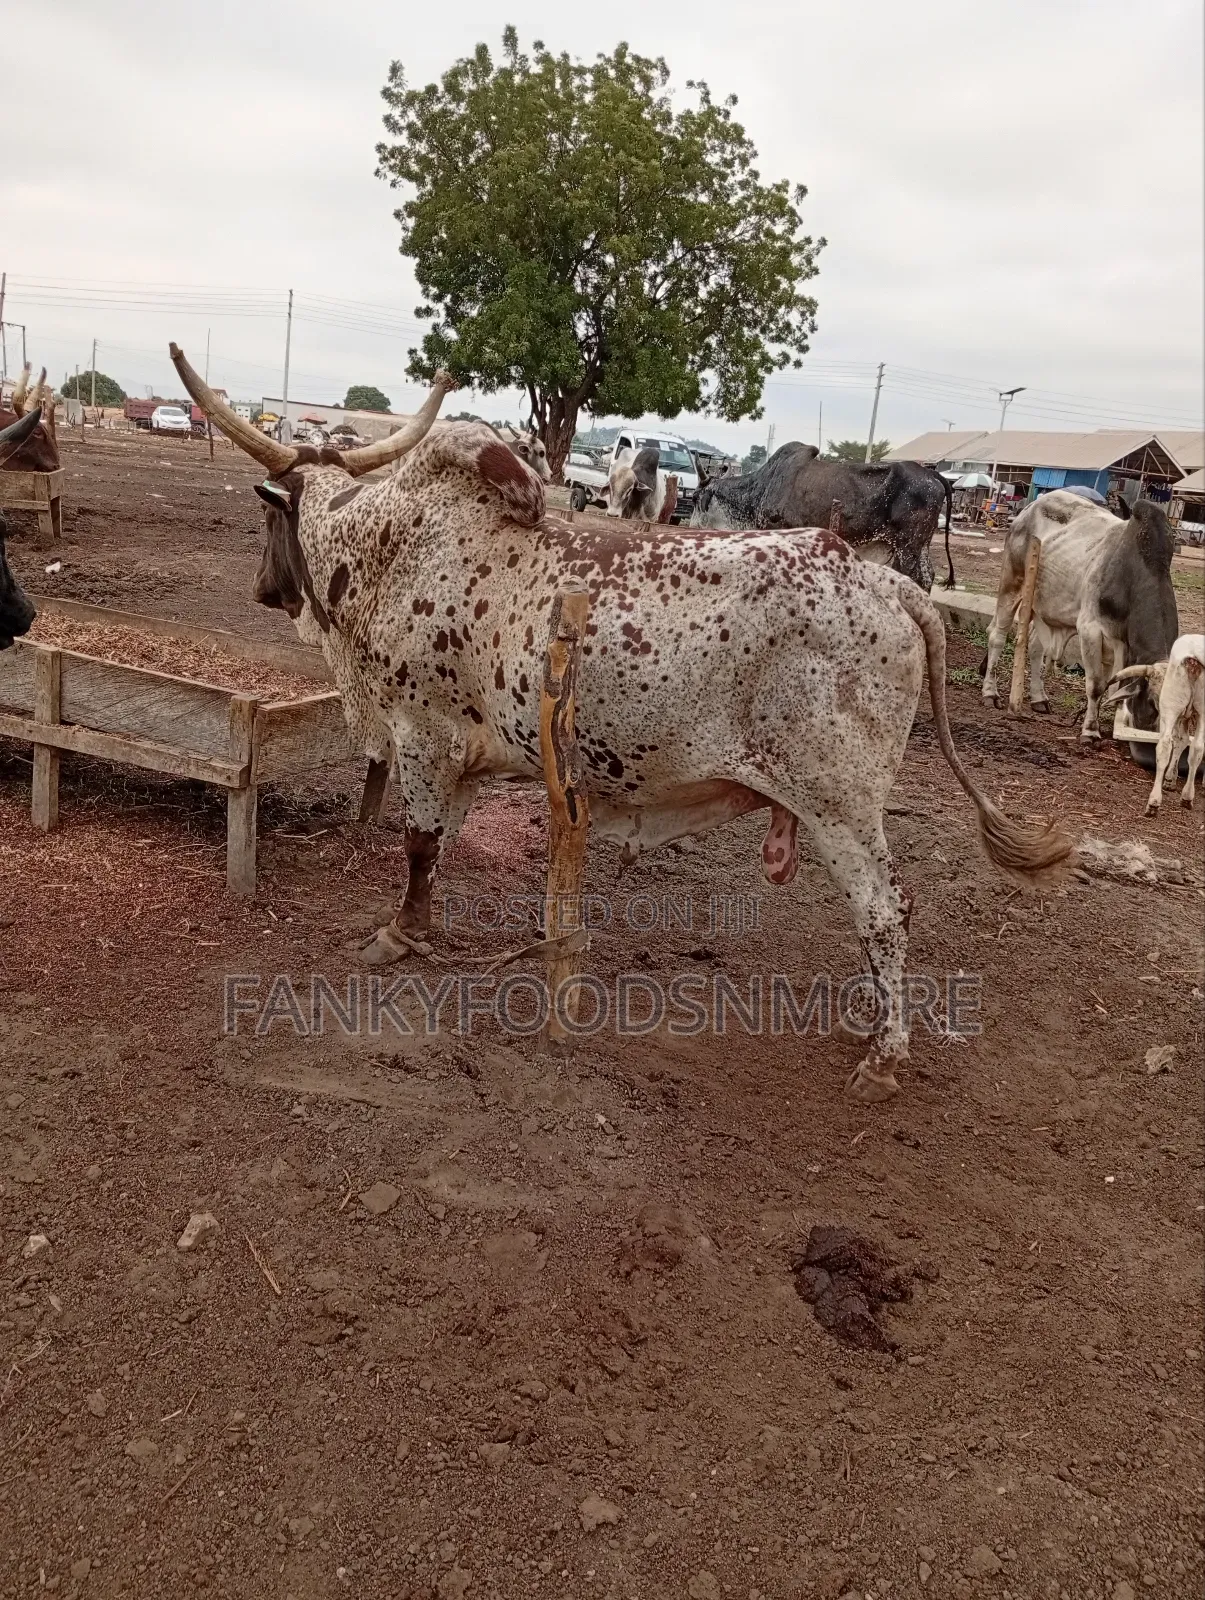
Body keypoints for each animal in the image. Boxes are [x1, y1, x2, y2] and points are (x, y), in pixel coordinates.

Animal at [691, 444, 954, 590]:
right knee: (927, 577)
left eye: (694, 498)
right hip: (921, 544)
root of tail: (933, 476)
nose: (692, 529)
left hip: (907, 546)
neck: (758, 490)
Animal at [981, 491, 1179, 739]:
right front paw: (1090, 731)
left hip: (1044, 607)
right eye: (1153, 703)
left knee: (1035, 648)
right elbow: (1096, 686)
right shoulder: (1090, 630)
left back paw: (1038, 699)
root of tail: (1028, 508)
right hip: (1011, 583)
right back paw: (990, 694)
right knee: (997, 635)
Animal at [1104, 634, 1205, 815]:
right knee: (1198, 748)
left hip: (1170, 707)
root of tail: (1193, 658)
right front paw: (1171, 779)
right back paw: (1187, 797)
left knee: (1164, 745)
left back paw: (1153, 803)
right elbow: (1183, 741)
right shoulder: (1185, 716)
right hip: (1201, 711)